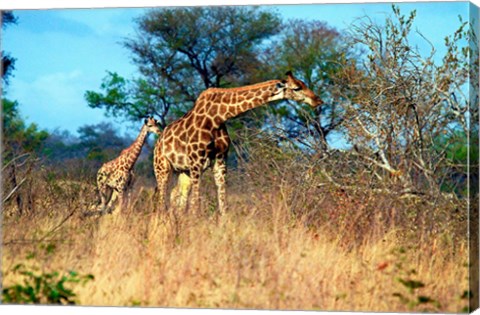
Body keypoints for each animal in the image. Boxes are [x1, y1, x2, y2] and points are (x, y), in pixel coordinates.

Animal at [154, 71, 322, 215]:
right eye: (297, 87)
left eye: (304, 83)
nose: (318, 100)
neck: (218, 116)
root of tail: (158, 143)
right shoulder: (196, 161)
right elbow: (196, 203)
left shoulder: (220, 160)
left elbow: (223, 204)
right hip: (163, 168)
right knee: (163, 199)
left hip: (184, 171)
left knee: (176, 197)